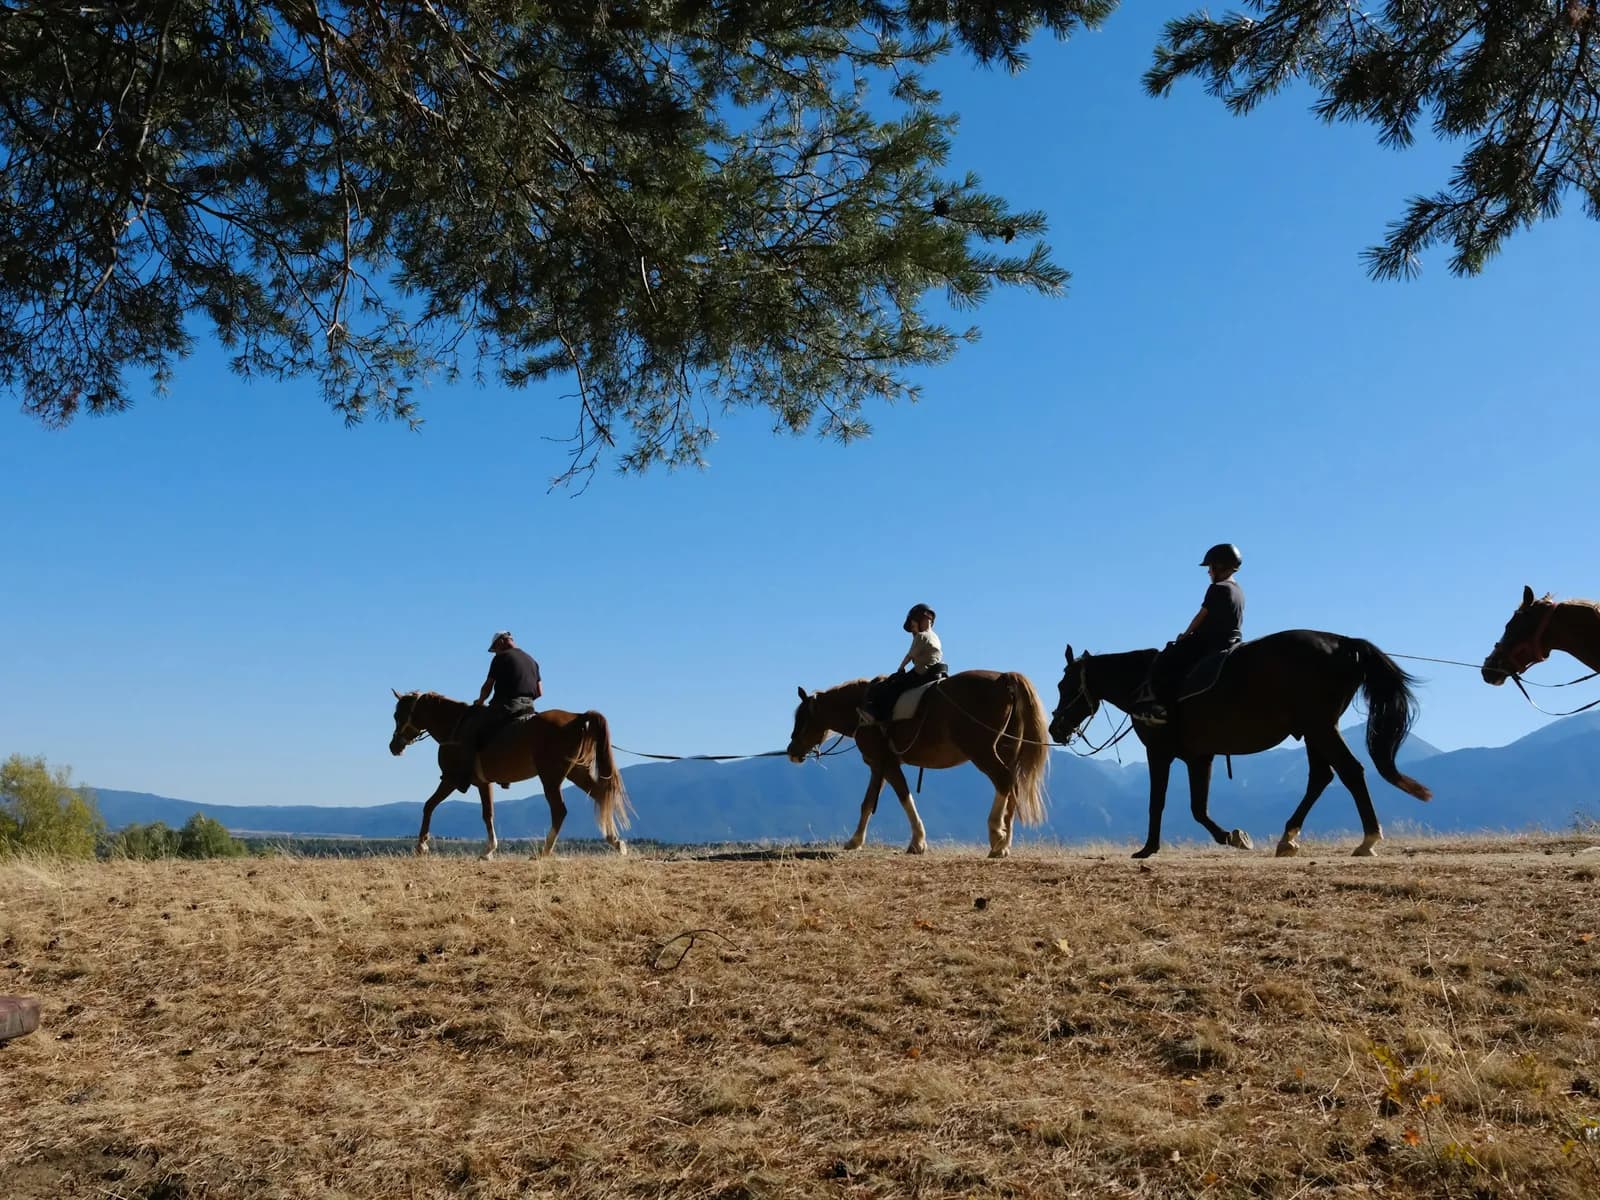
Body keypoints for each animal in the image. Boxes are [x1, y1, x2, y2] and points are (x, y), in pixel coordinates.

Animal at [388, 690, 631, 859]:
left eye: (397, 715)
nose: (394, 746)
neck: (455, 727)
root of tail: (578, 718)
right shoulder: (483, 783)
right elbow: (488, 814)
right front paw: (489, 850)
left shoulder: (450, 779)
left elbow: (429, 805)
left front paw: (421, 845)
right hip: (576, 772)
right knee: (601, 795)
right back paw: (616, 842)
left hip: (550, 777)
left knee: (559, 810)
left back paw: (544, 851)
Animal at [785, 671, 1051, 857]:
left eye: (803, 718)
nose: (791, 751)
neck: (862, 709)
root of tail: (1003, 679)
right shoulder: (880, 766)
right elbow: (868, 802)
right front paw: (855, 841)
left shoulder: (886, 764)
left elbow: (903, 797)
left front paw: (917, 842)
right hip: (1007, 751)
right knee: (1012, 788)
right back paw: (1004, 843)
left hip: (982, 752)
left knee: (1003, 781)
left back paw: (996, 834)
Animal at [1047, 631, 1433, 858]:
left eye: (1064, 686)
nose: (1055, 728)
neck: (1143, 682)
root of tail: (1344, 643)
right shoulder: (1199, 757)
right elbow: (1197, 807)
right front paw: (1232, 836)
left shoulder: (1160, 753)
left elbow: (1158, 802)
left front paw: (1148, 848)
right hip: (1315, 730)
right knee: (1321, 777)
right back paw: (1288, 838)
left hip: (1320, 727)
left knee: (1350, 771)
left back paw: (1368, 839)